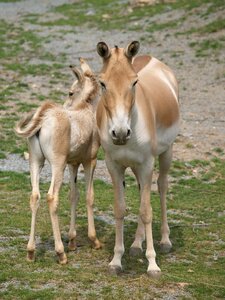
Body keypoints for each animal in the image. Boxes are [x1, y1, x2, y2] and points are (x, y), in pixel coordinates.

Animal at [14, 59, 101, 264]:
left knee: (35, 196)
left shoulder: (73, 164)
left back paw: (31, 251)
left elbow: (73, 195)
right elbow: (89, 196)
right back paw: (60, 253)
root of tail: (44, 116)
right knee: (51, 197)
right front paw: (93, 240)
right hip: (57, 165)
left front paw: (73, 241)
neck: (86, 109)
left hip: (36, 162)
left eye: (70, 92)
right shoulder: (90, 161)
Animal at [96, 41, 180, 276]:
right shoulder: (114, 165)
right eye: (102, 83)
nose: (120, 133)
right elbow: (120, 209)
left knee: (161, 187)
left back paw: (165, 241)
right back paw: (135, 245)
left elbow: (146, 211)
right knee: (143, 189)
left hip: (166, 154)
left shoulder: (147, 164)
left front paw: (152, 264)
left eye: (134, 82)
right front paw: (116, 260)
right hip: (135, 166)